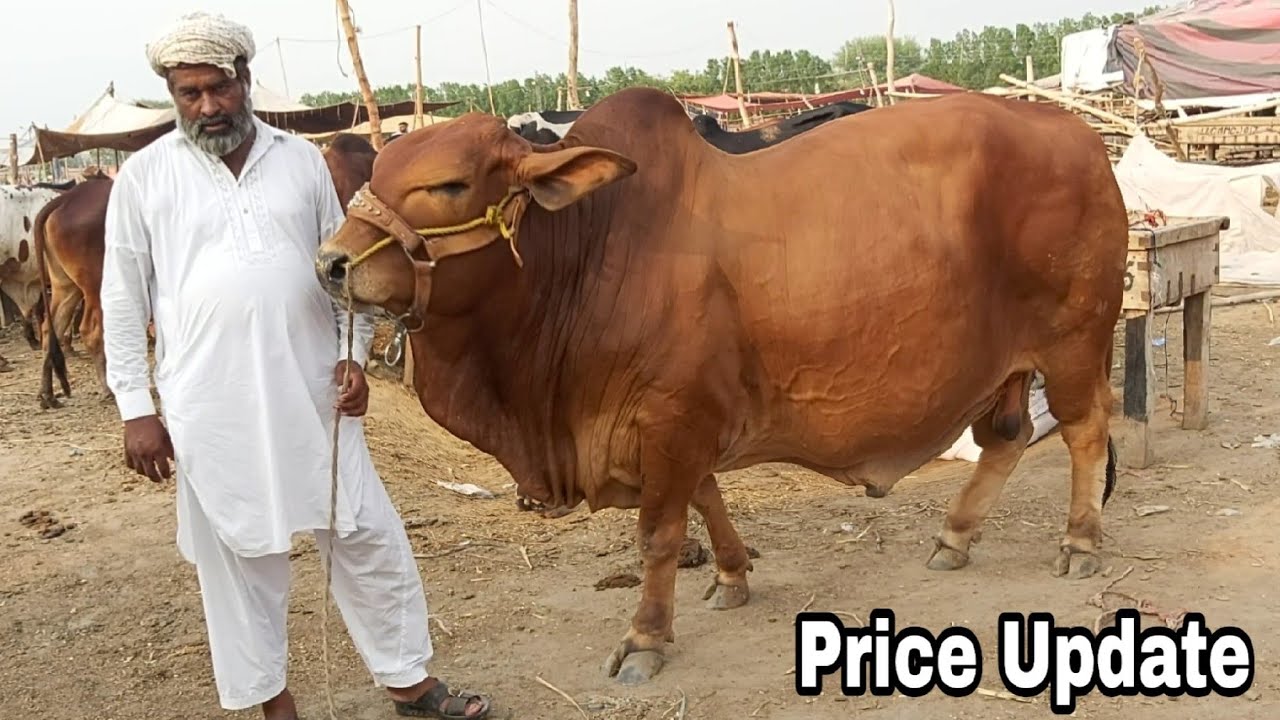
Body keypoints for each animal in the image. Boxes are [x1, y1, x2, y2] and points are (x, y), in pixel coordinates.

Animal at [33, 175, 112, 409]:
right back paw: (108, 389)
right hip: (97, 286)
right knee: (91, 332)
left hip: (65, 286)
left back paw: (47, 394)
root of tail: (66, 198)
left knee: (50, 330)